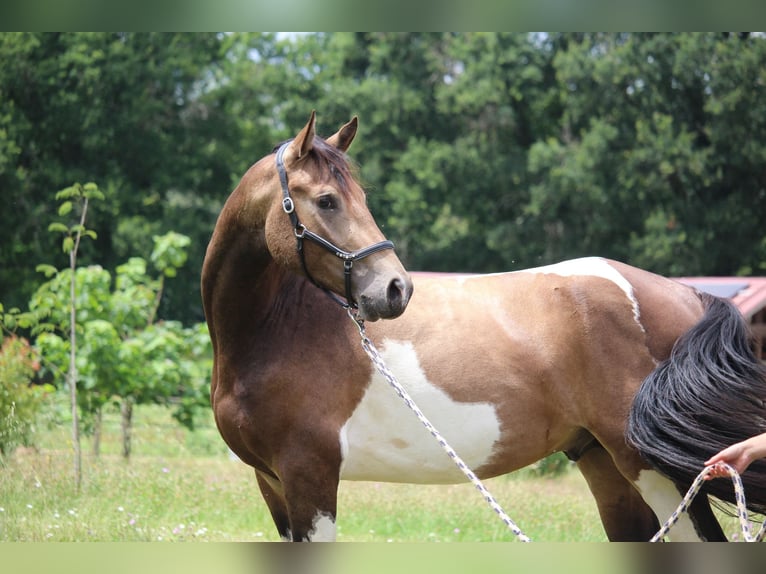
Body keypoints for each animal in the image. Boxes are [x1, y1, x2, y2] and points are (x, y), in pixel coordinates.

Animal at [201, 112, 764, 544]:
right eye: (326, 200)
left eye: (358, 195)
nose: (395, 289)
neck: (278, 331)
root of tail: (688, 294)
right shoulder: (273, 483)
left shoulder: (310, 478)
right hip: (605, 465)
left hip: (657, 470)